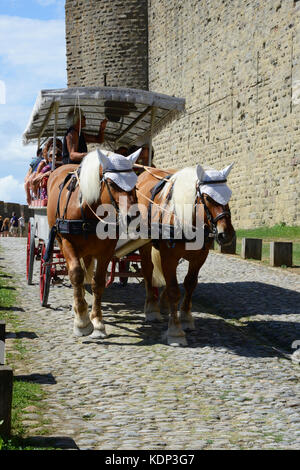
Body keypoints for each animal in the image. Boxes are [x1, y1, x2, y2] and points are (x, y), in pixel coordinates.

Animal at [47, 147, 141, 338]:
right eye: (111, 183)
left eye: (135, 183)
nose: (133, 217)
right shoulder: (67, 242)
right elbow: (76, 274)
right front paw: (82, 321)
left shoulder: (106, 250)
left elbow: (98, 282)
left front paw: (97, 322)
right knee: (75, 273)